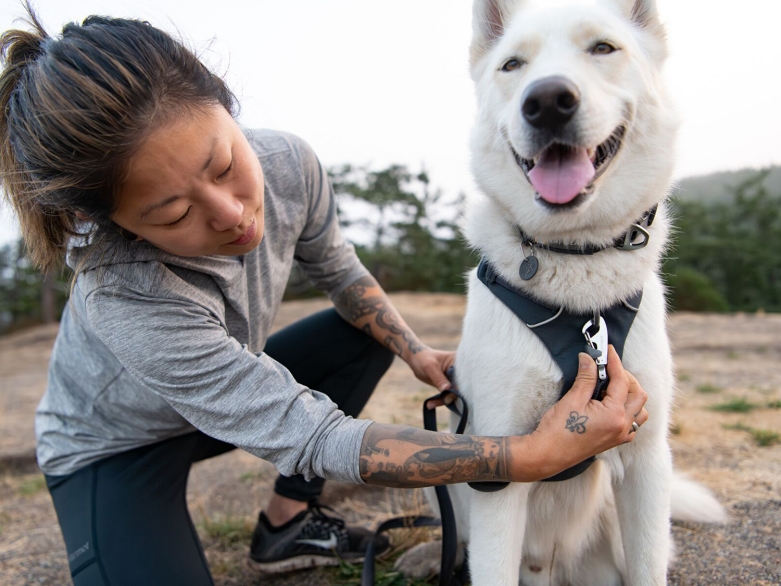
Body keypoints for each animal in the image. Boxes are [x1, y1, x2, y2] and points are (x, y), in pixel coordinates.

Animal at [400, 1, 728, 584]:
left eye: (603, 48)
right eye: (512, 64)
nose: (548, 101)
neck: (577, 265)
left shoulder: (646, 459)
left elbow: (648, 567)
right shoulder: (498, 469)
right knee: (459, 537)